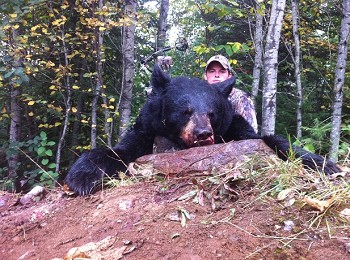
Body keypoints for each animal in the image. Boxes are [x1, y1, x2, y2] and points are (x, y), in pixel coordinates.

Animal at [64, 64, 340, 195]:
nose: (203, 134)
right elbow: (120, 150)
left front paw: (324, 164)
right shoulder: (146, 129)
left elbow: (268, 138)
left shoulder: (233, 127)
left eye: (211, 113)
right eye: (184, 111)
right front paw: (83, 177)